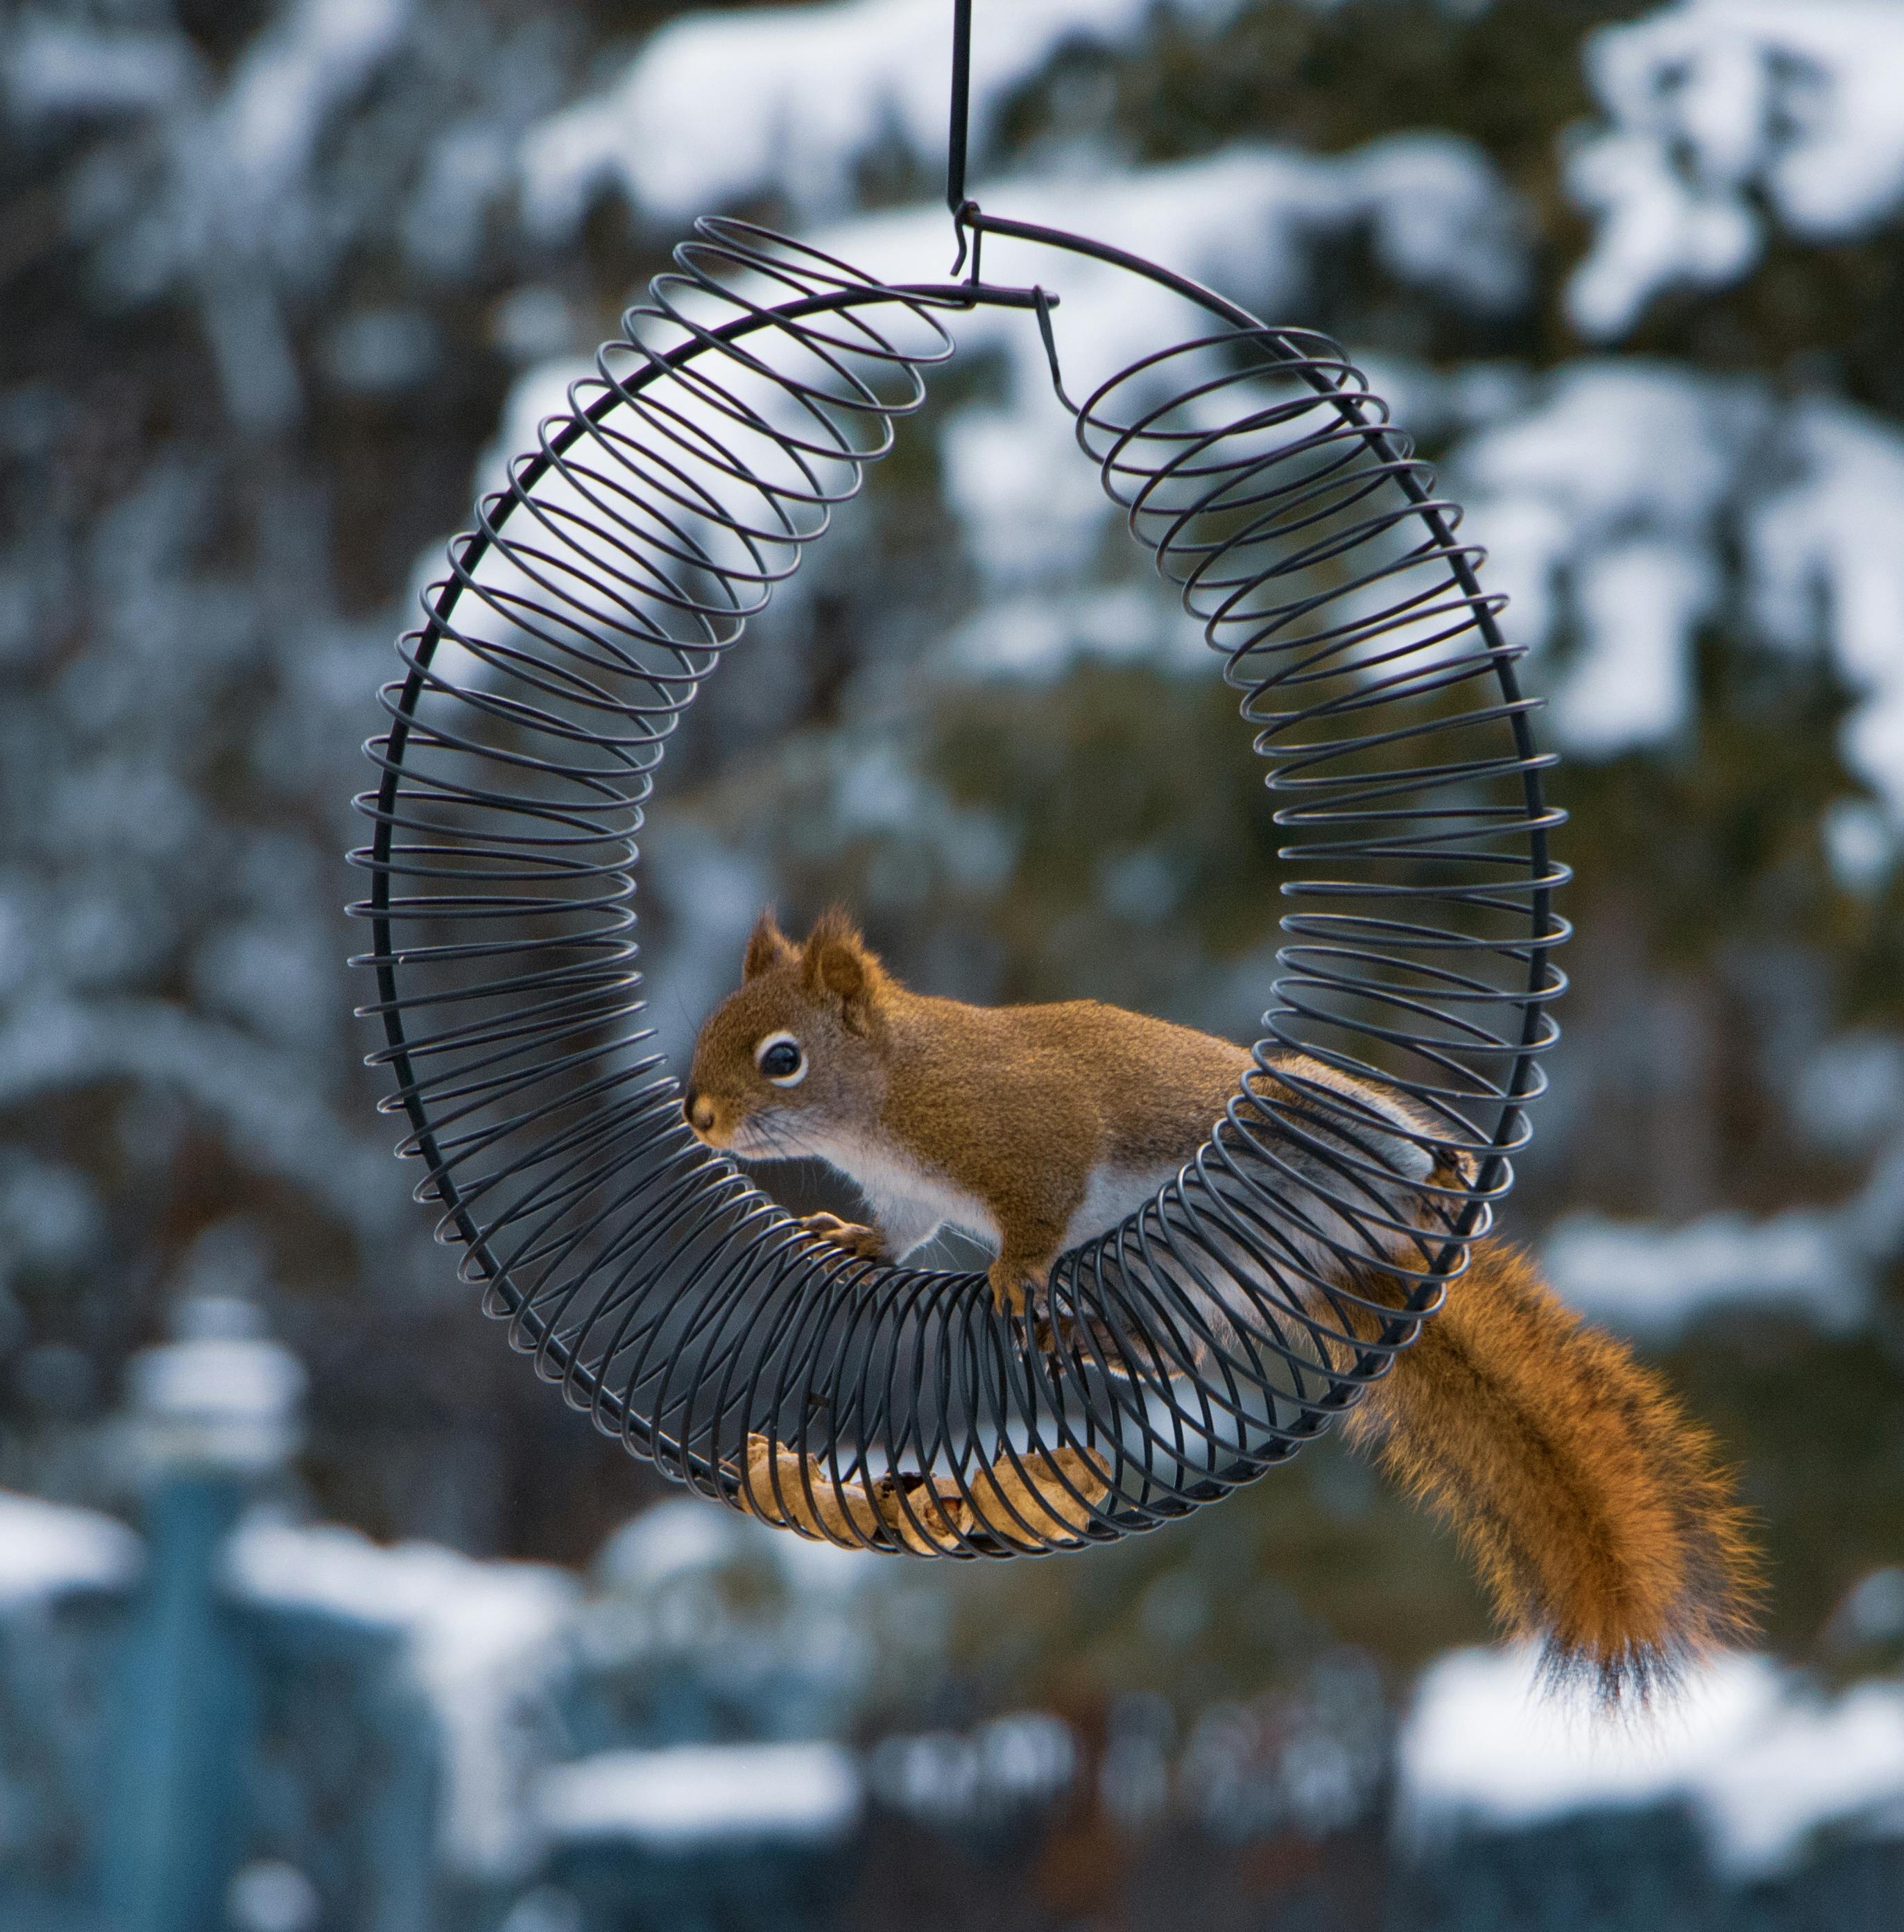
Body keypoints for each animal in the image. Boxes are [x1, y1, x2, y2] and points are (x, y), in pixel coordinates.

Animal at [680, 904, 1755, 1692]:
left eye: (782, 1057)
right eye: (710, 1029)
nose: (698, 1117)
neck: (889, 1095)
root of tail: (1360, 1247)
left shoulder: (1029, 1138)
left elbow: (1037, 1213)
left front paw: (1015, 1269)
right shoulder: (910, 1199)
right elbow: (898, 1237)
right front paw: (850, 1237)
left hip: (1309, 1135)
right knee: (1183, 1348)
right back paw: (1108, 1345)